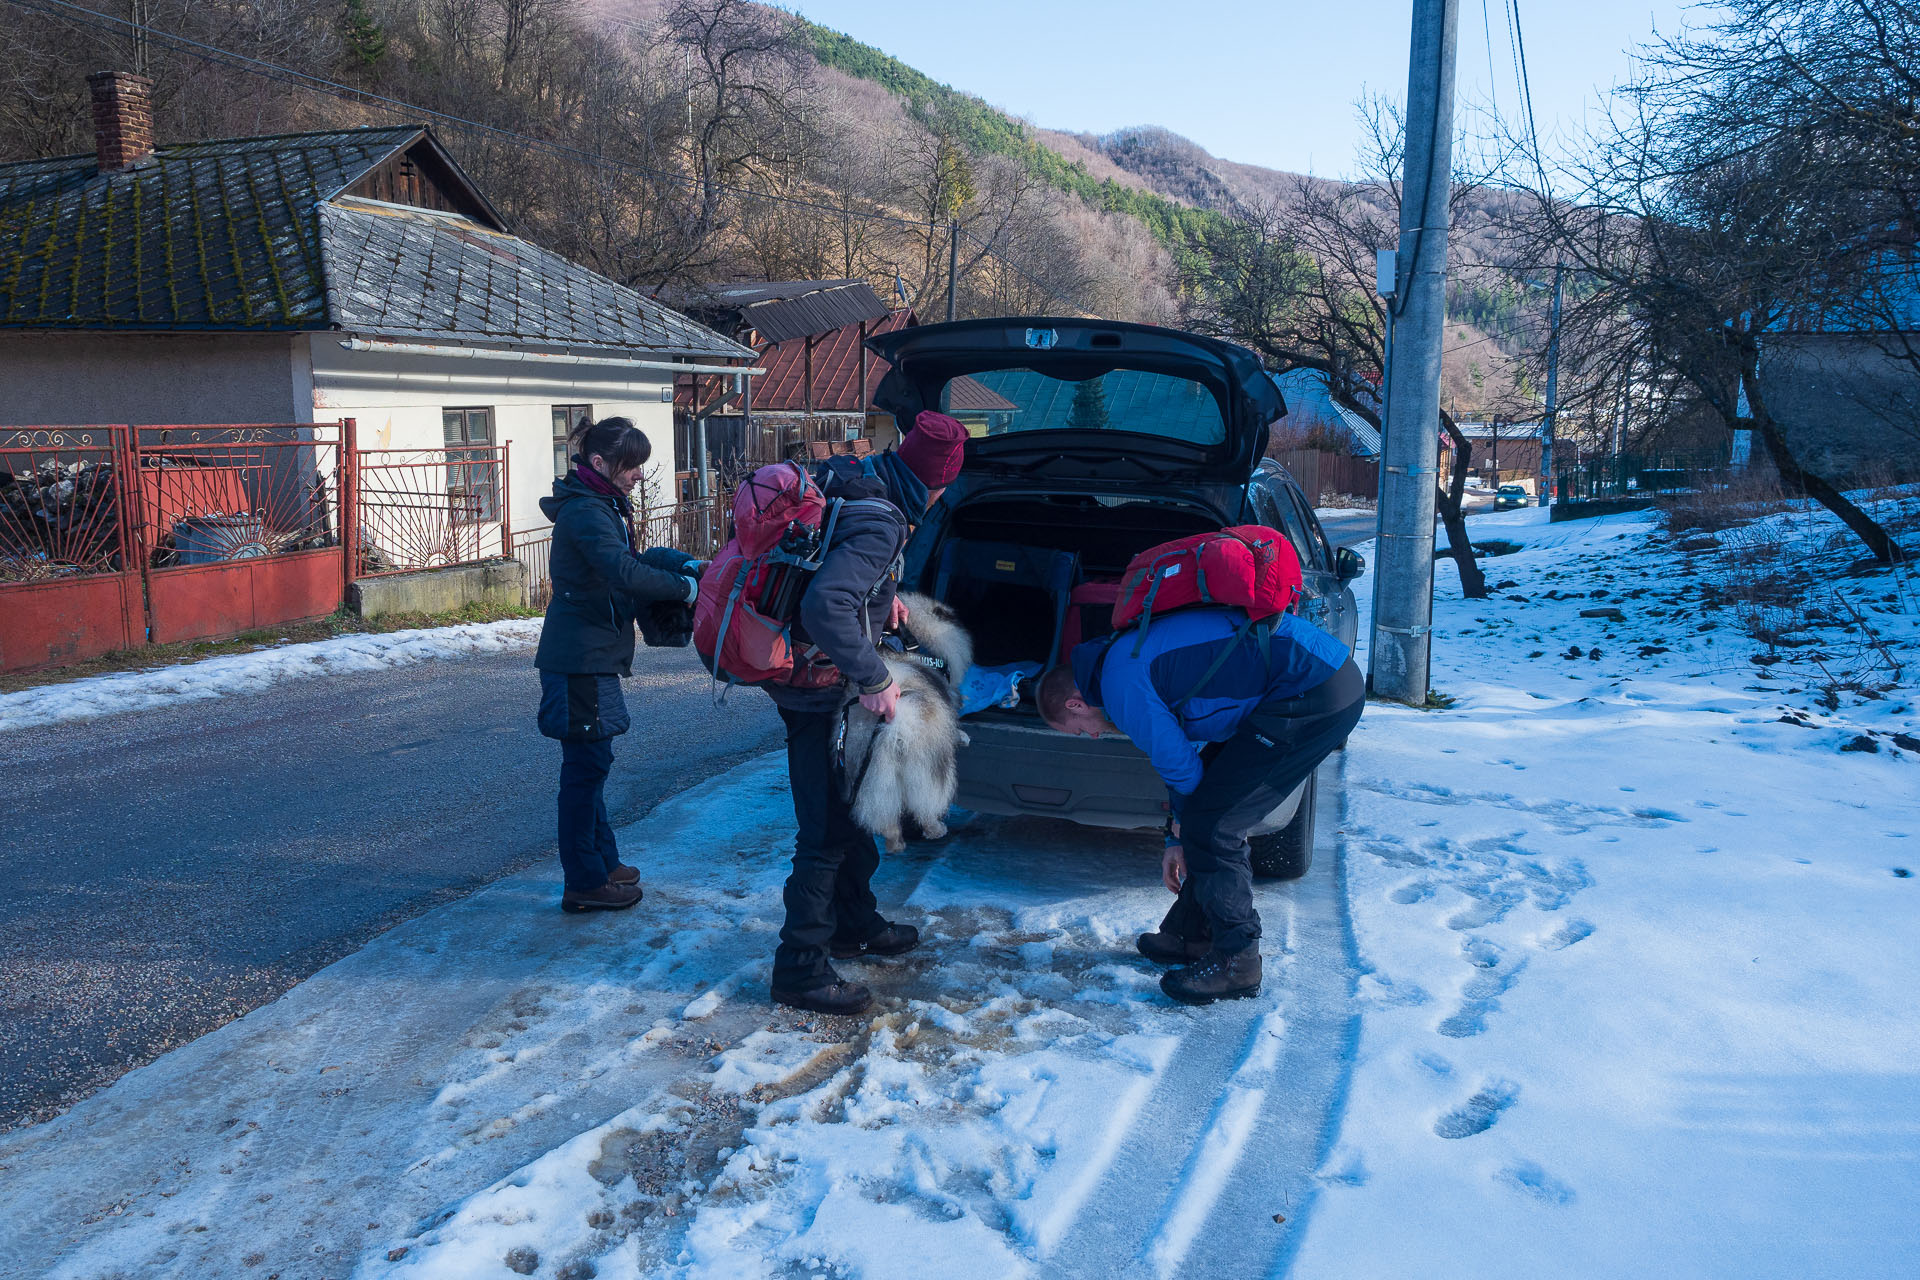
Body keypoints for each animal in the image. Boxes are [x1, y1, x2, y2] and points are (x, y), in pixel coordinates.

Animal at [840, 594, 975, 855]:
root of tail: (896, 727)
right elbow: (955, 725)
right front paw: (964, 736)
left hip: (873, 780)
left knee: (885, 818)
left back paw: (895, 843)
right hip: (928, 774)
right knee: (927, 806)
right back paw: (936, 829)